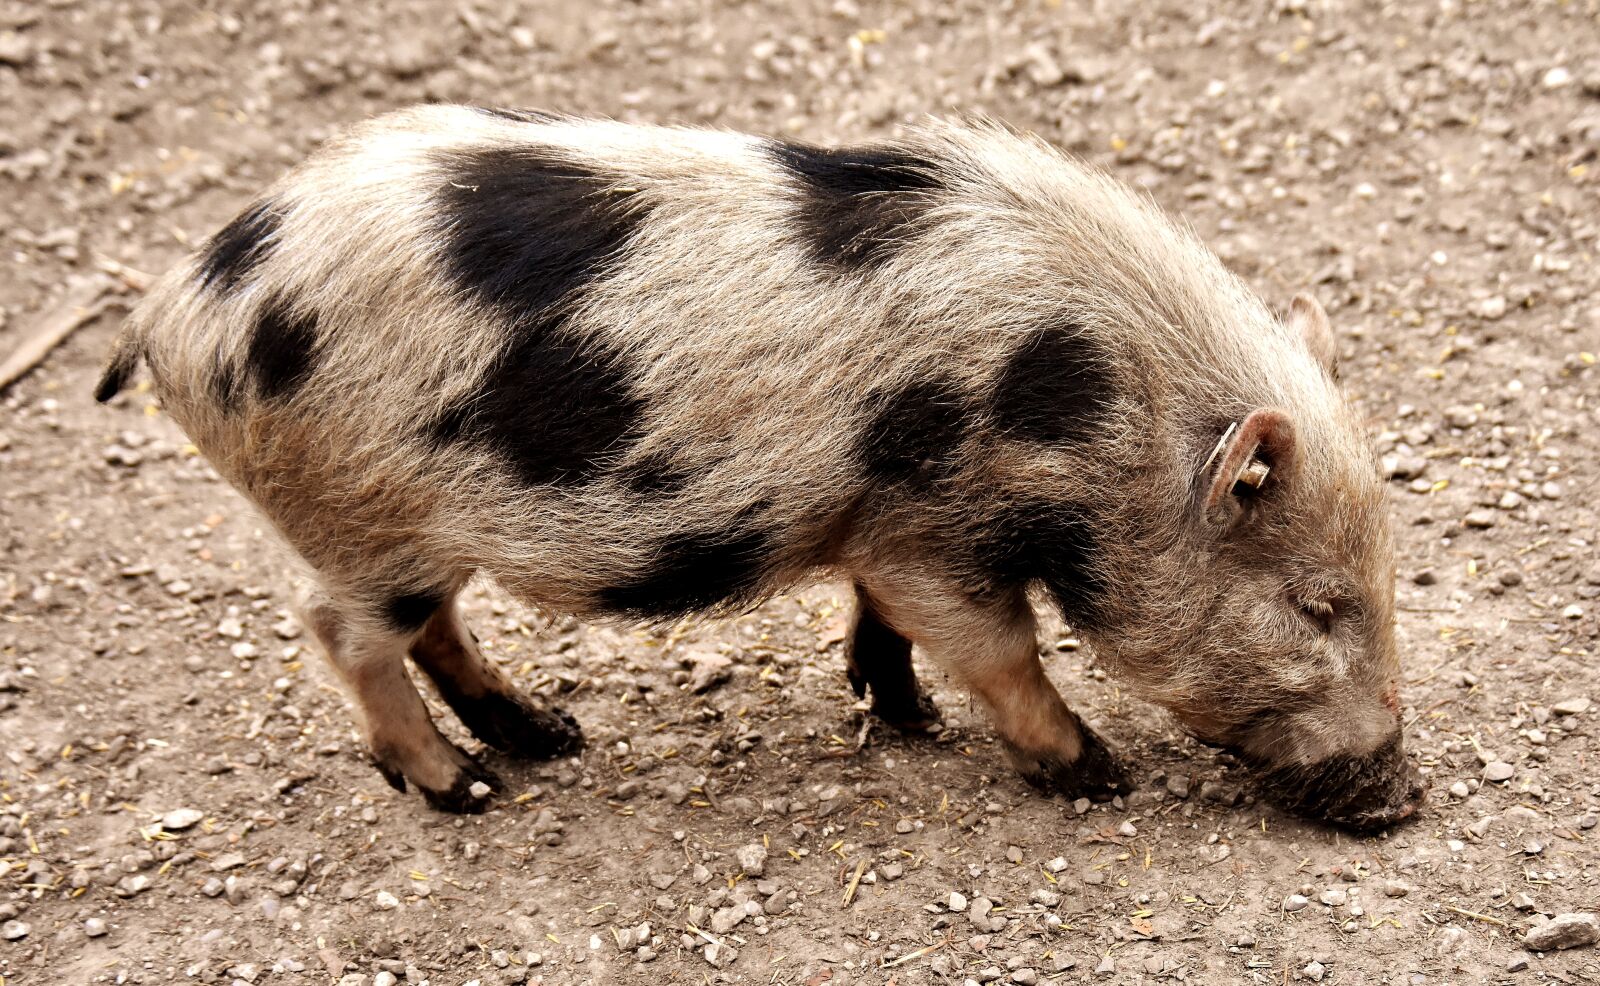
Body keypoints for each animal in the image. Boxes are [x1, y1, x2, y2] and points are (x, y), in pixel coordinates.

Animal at [96, 105, 1425, 828]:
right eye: (1316, 602)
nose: (1405, 799)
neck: (1087, 408)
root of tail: (176, 303)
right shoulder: (936, 524)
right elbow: (997, 646)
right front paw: (1097, 773)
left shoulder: (887, 525)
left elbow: (882, 617)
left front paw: (903, 716)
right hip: (362, 520)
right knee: (341, 629)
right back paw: (469, 787)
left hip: (420, 528)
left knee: (435, 626)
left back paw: (551, 734)